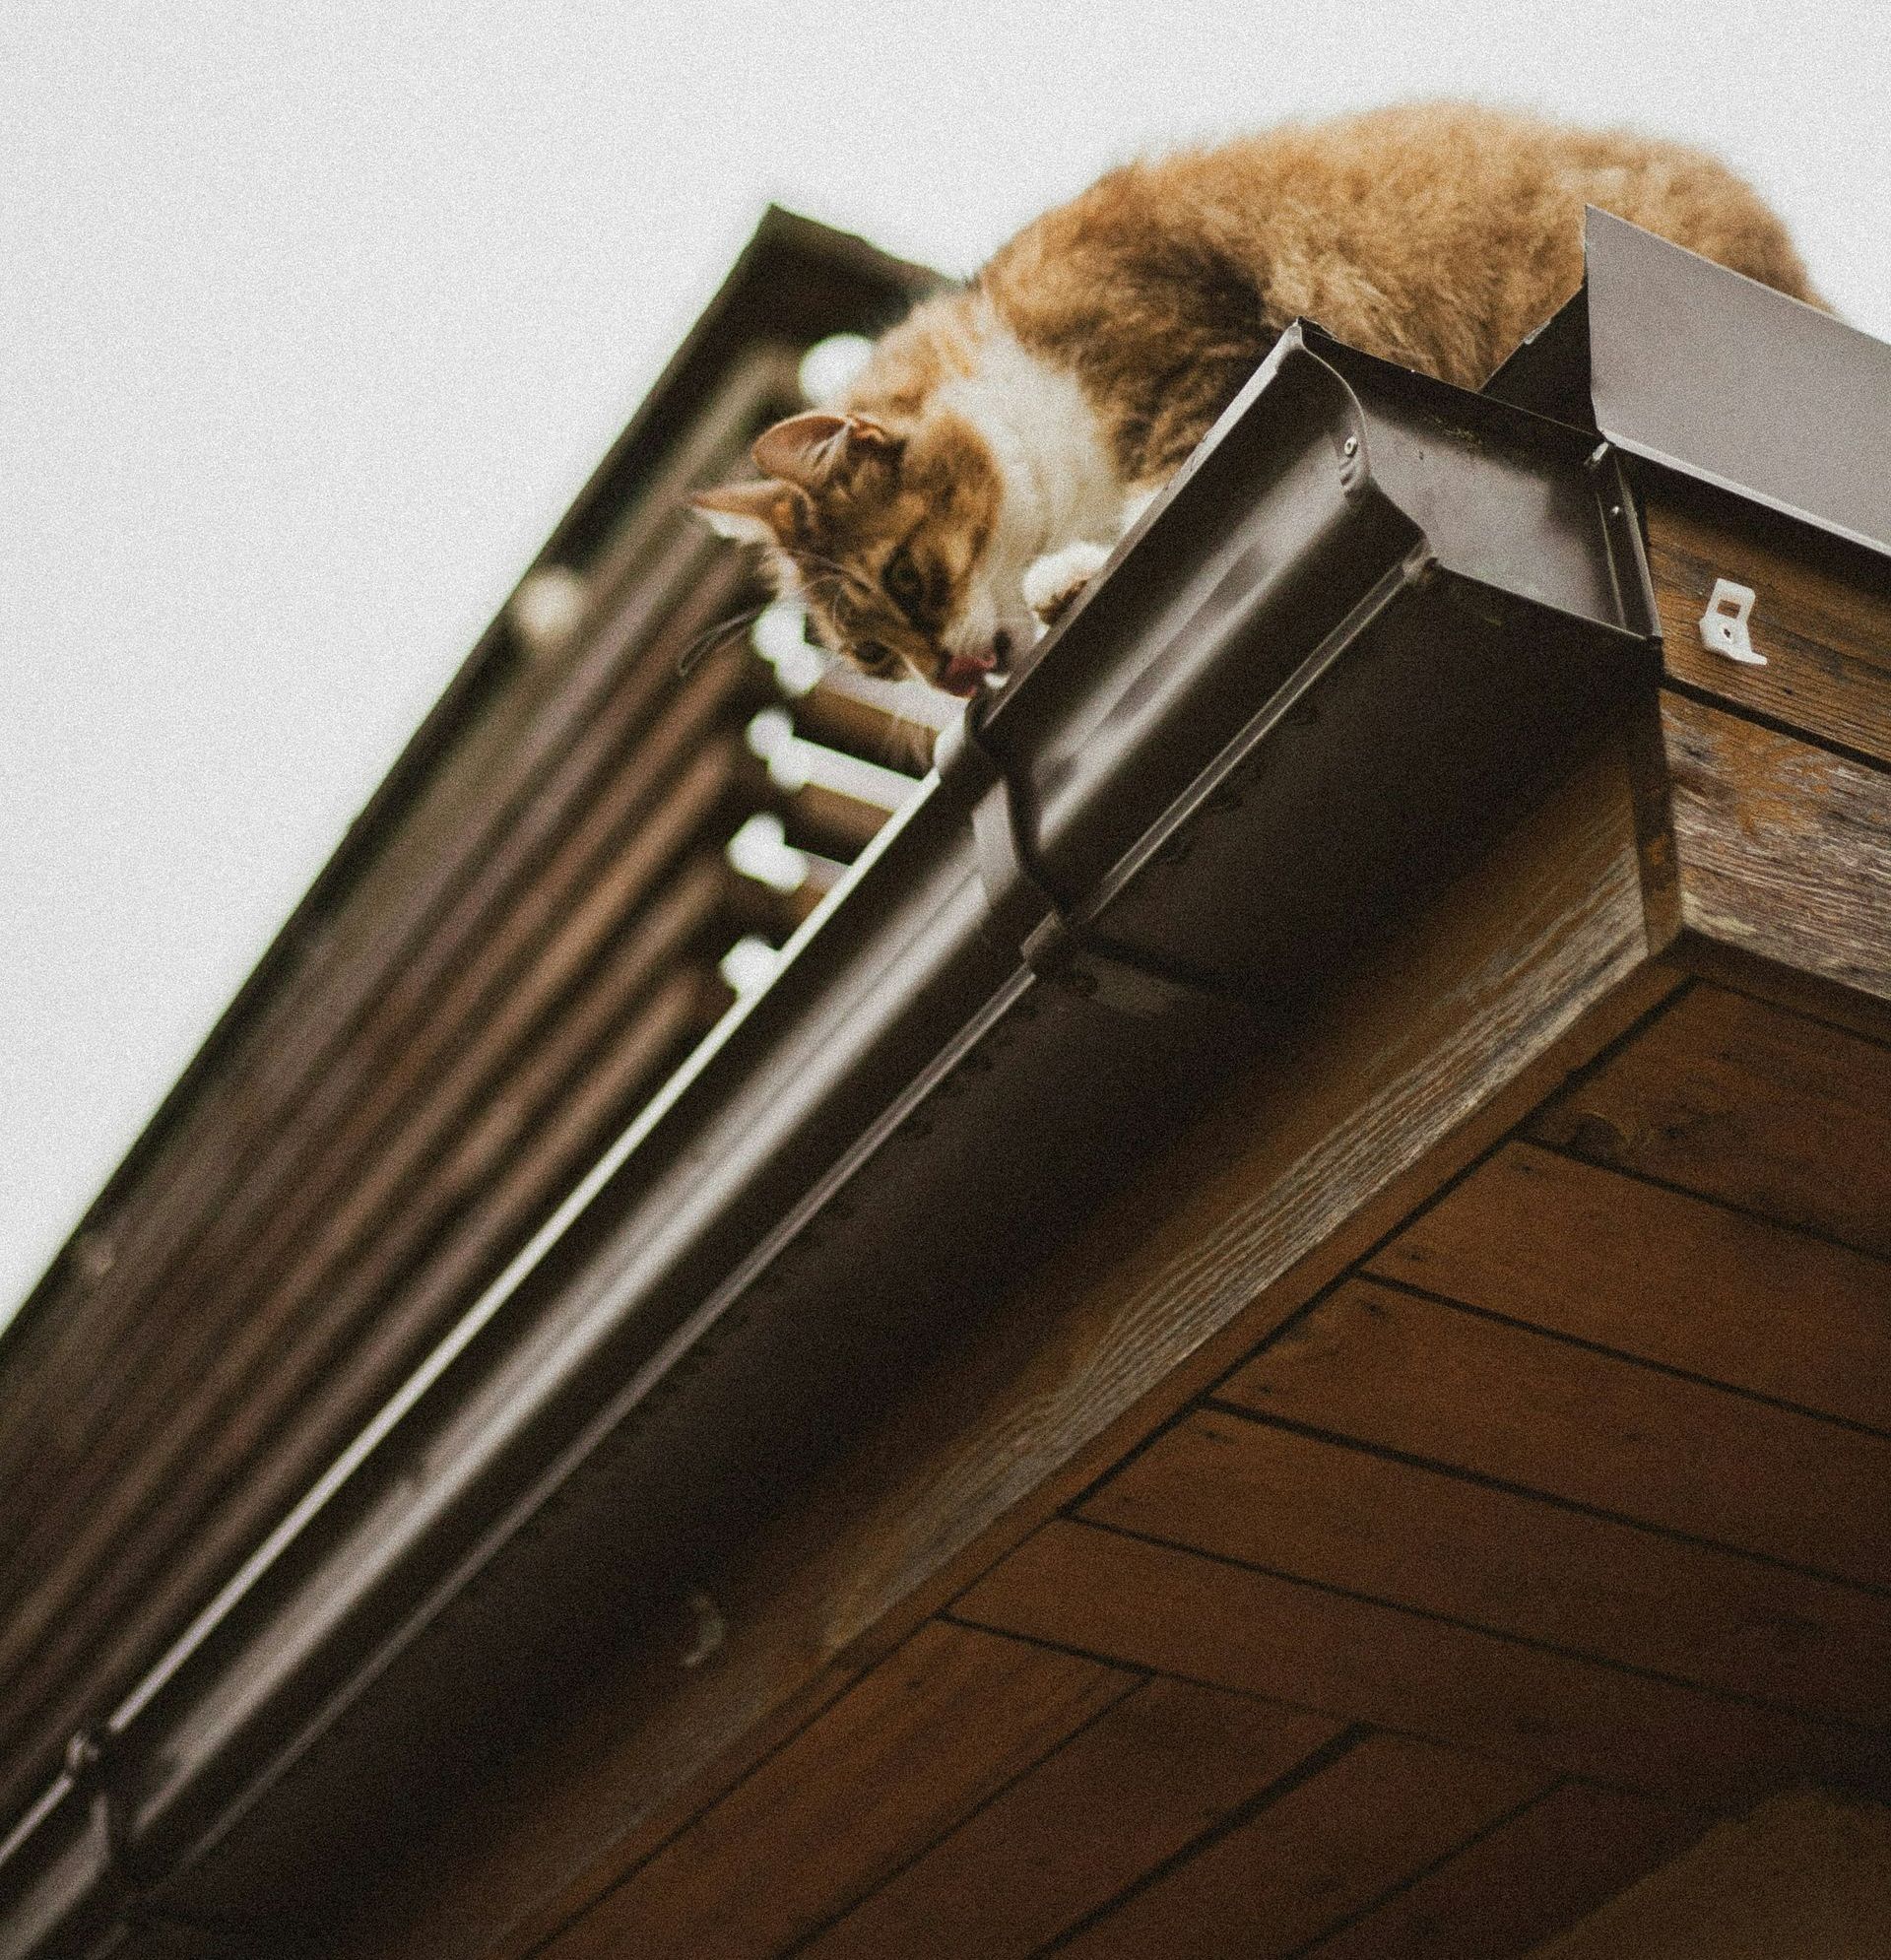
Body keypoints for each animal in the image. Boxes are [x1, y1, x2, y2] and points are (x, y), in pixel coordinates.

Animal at [689, 102, 1818, 697]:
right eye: (876, 657)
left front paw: (1075, 570)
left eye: (910, 579)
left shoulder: (1198, 343)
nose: (951, 683)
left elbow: (1171, 471)